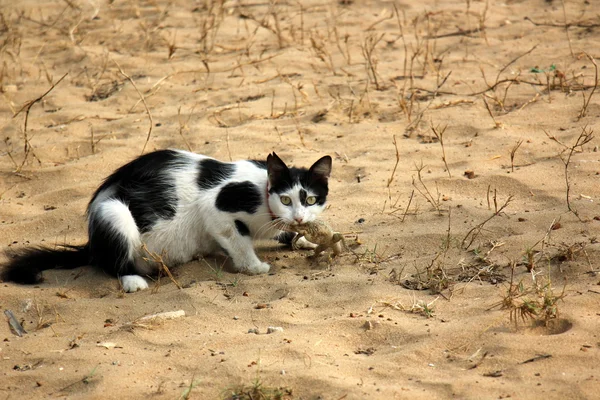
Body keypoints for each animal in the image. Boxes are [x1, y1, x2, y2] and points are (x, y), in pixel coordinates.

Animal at [0, 149, 332, 290]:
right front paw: (254, 267)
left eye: (310, 200)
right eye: (286, 199)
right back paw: (133, 279)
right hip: (114, 212)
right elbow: (238, 241)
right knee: (111, 262)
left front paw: (302, 239)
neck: (263, 192)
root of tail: (90, 244)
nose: (299, 217)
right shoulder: (216, 206)